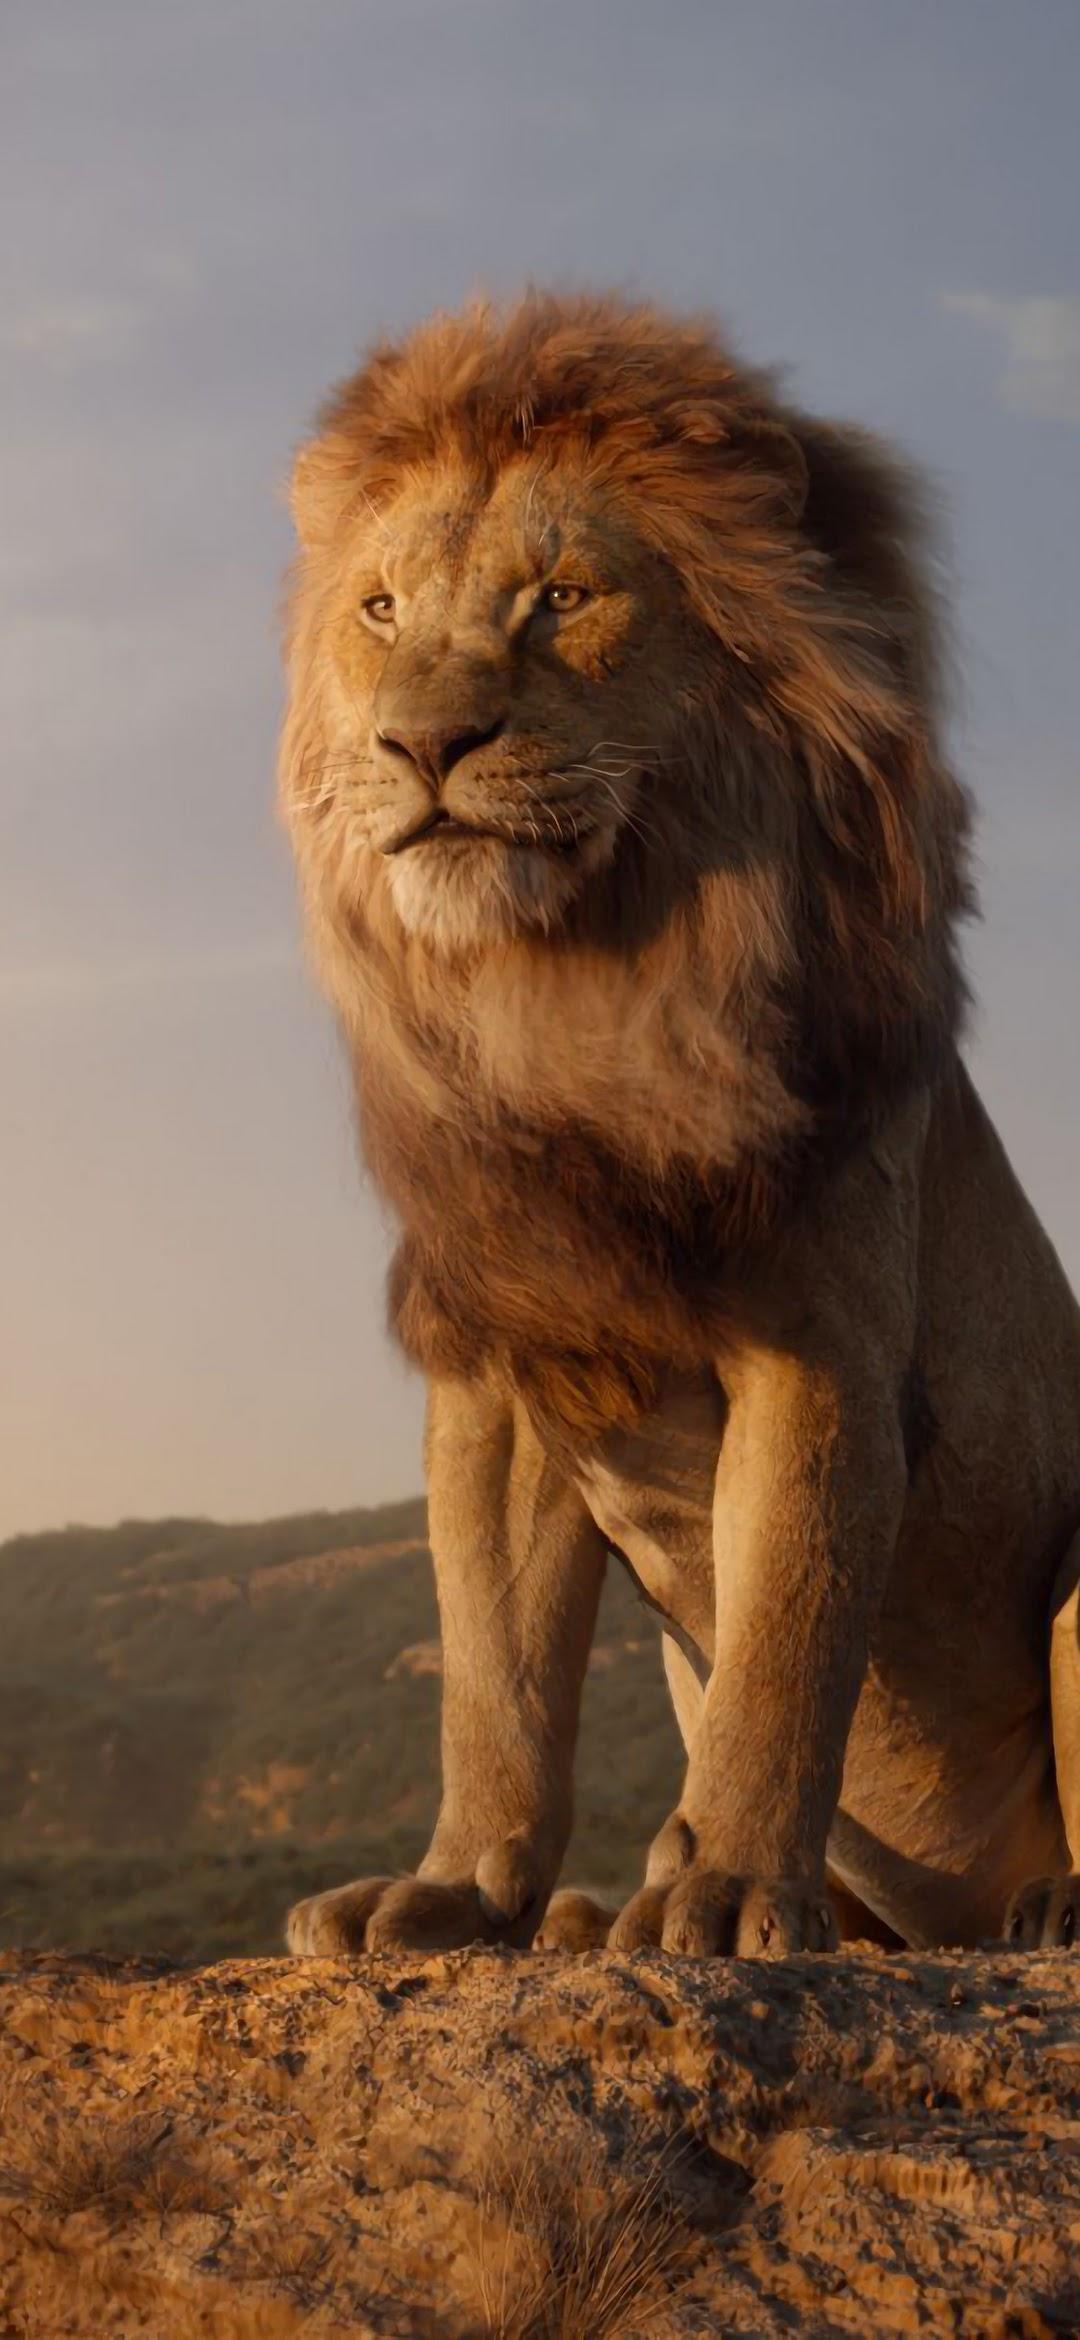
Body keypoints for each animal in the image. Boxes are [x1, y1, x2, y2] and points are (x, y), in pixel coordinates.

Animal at [278, 290, 1080, 1959]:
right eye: (381, 611)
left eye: (563, 598)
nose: (422, 745)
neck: (573, 998)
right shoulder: (502, 1377)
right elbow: (495, 1681)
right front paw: (456, 1892)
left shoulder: (821, 1351)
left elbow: (783, 1645)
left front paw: (724, 1895)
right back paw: (595, 1913)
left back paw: (1047, 1904)